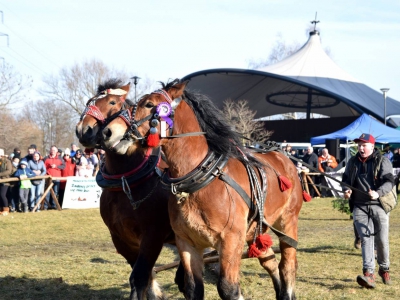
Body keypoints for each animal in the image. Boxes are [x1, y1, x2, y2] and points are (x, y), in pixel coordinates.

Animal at [75, 78, 183, 298]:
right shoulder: (121, 238)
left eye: (112, 102)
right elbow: (142, 276)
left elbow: (140, 277)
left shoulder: (153, 235)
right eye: (89, 101)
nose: (84, 130)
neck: (126, 180)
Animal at [100, 79, 304, 300]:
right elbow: (193, 288)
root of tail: (283, 156)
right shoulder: (187, 243)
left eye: (149, 104)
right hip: (255, 229)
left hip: (288, 221)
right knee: (269, 260)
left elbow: (228, 288)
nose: (108, 132)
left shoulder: (230, 241)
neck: (201, 182)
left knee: (287, 265)